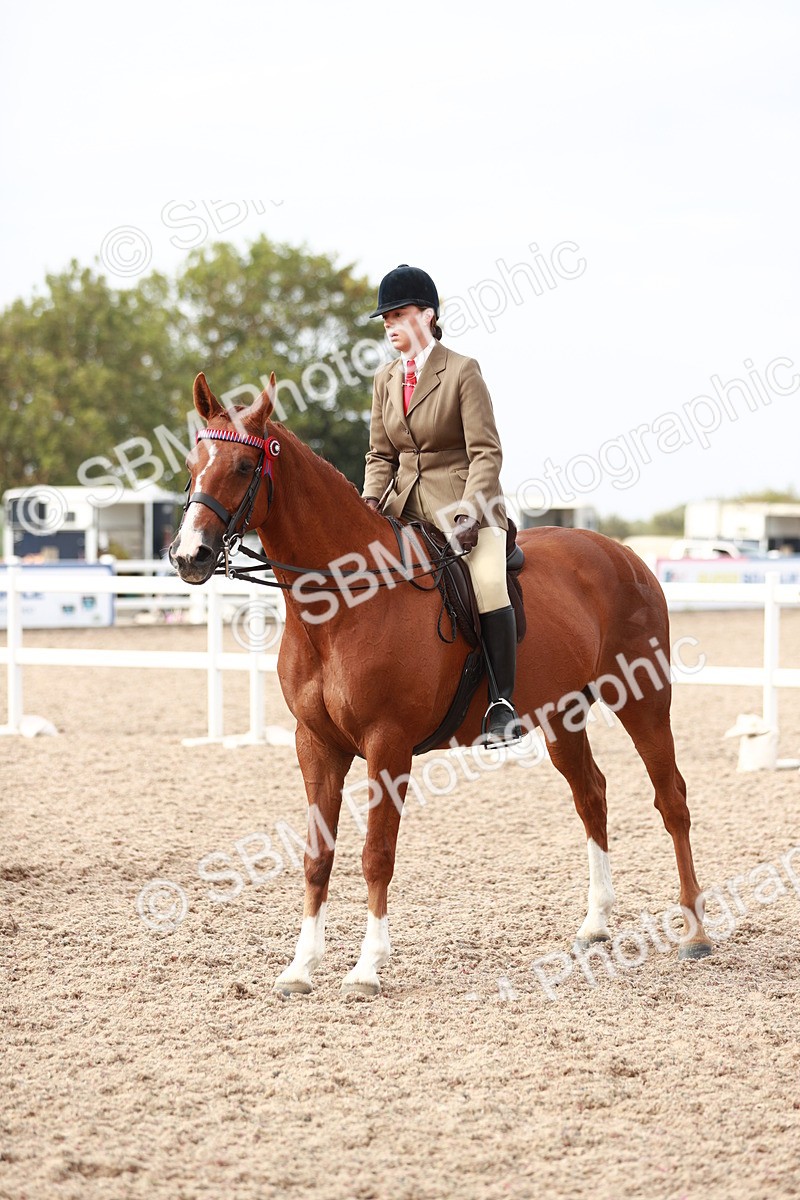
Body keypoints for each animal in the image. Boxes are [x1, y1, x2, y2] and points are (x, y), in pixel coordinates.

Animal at [169, 372, 714, 997]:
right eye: (193, 463)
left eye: (242, 466)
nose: (189, 555)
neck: (343, 602)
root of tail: (624, 554)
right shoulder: (317, 744)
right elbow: (316, 856)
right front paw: (301, 967)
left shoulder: (388, 744)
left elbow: (376, 853)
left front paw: (366, 968)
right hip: (562, 715)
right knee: (592, 796)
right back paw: (596, 925)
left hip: (644, 699)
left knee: (671, 799)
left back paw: (696, 931)